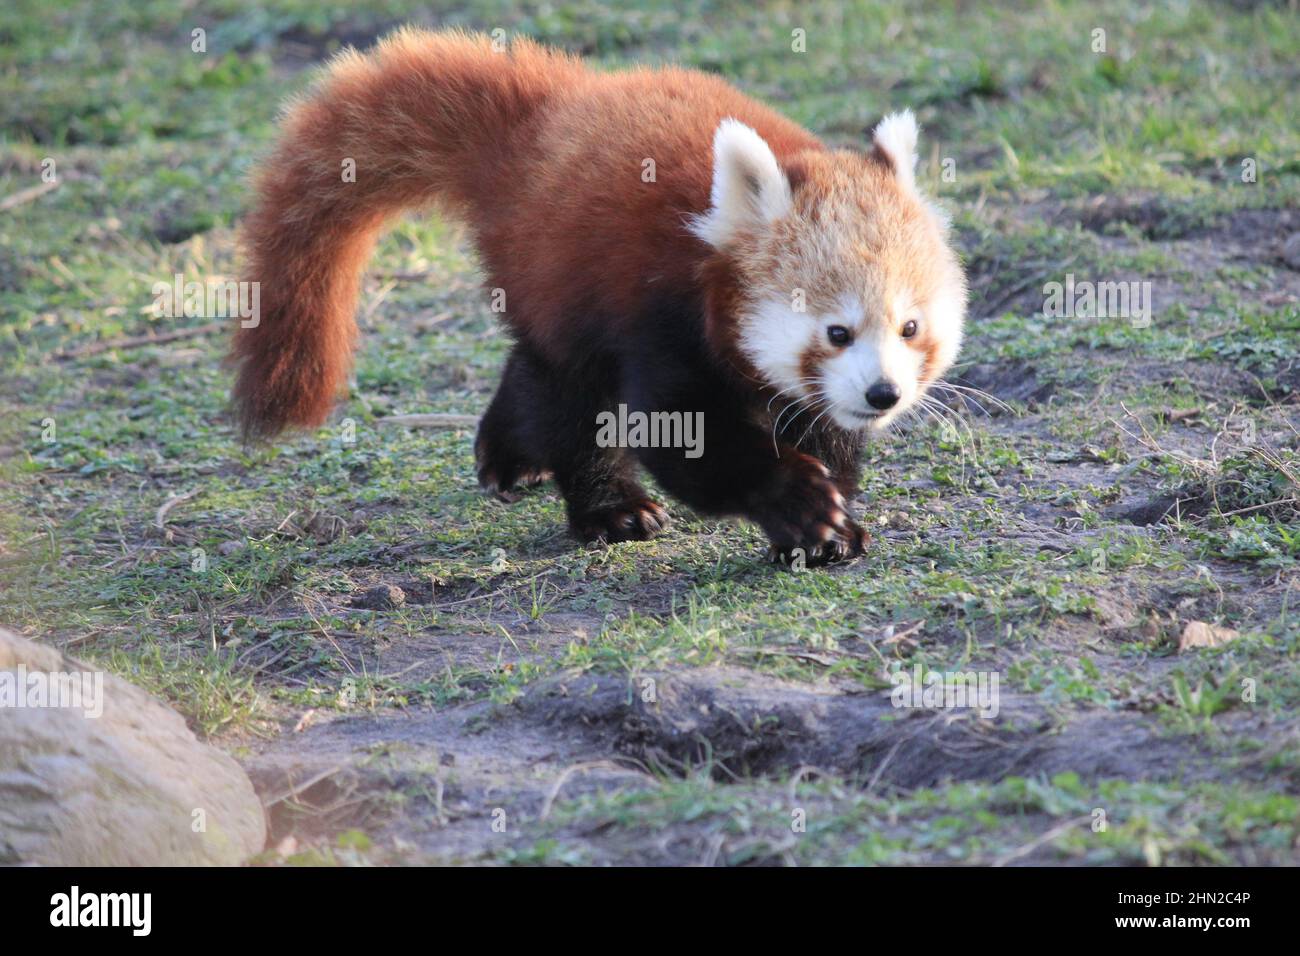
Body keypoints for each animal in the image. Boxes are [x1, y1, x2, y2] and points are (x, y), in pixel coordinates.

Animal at [231, 27, 967, 567]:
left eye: (909, 327)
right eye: (837, 331)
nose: (883, 394)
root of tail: (544, 116)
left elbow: (825, 433)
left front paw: (834, 523)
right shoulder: (661, 318)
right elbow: (682, 438)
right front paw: (800, 504)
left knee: (531, 372)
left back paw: (509, 453)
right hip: (563, 278)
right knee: (569, 395)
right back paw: (607, 509)